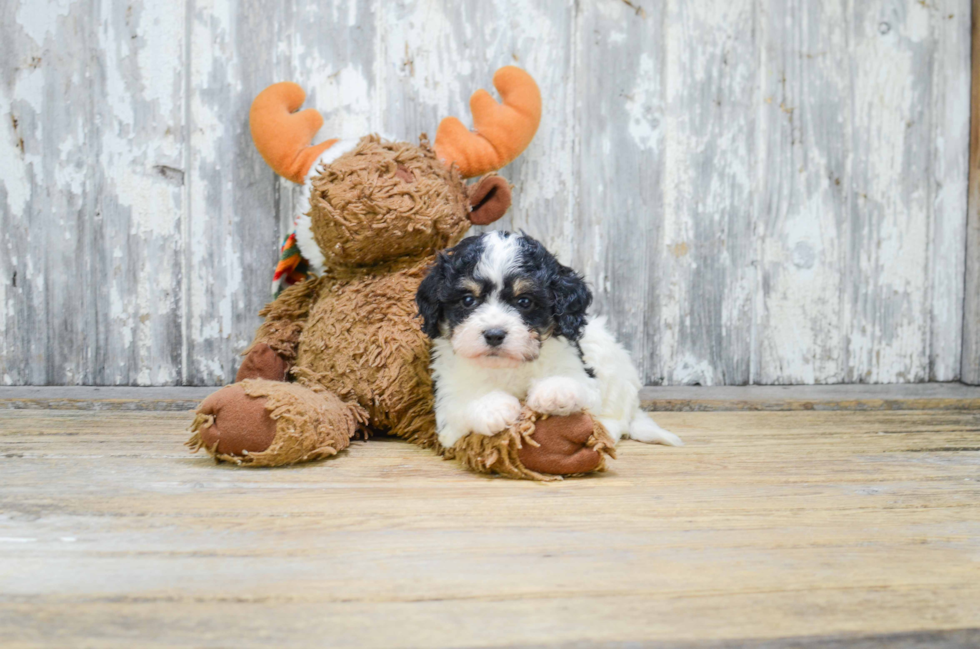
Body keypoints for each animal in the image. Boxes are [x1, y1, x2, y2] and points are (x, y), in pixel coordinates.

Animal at [416, 230, 680, 448]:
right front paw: (492, 407)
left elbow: (576, 384)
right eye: (468, 300)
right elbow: (460, 406)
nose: (494, 334)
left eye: (524, 301)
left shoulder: (581, 371)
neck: (507, 366)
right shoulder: (446, 401)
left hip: (613, 366)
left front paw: (556, 391)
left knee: (616, 420)